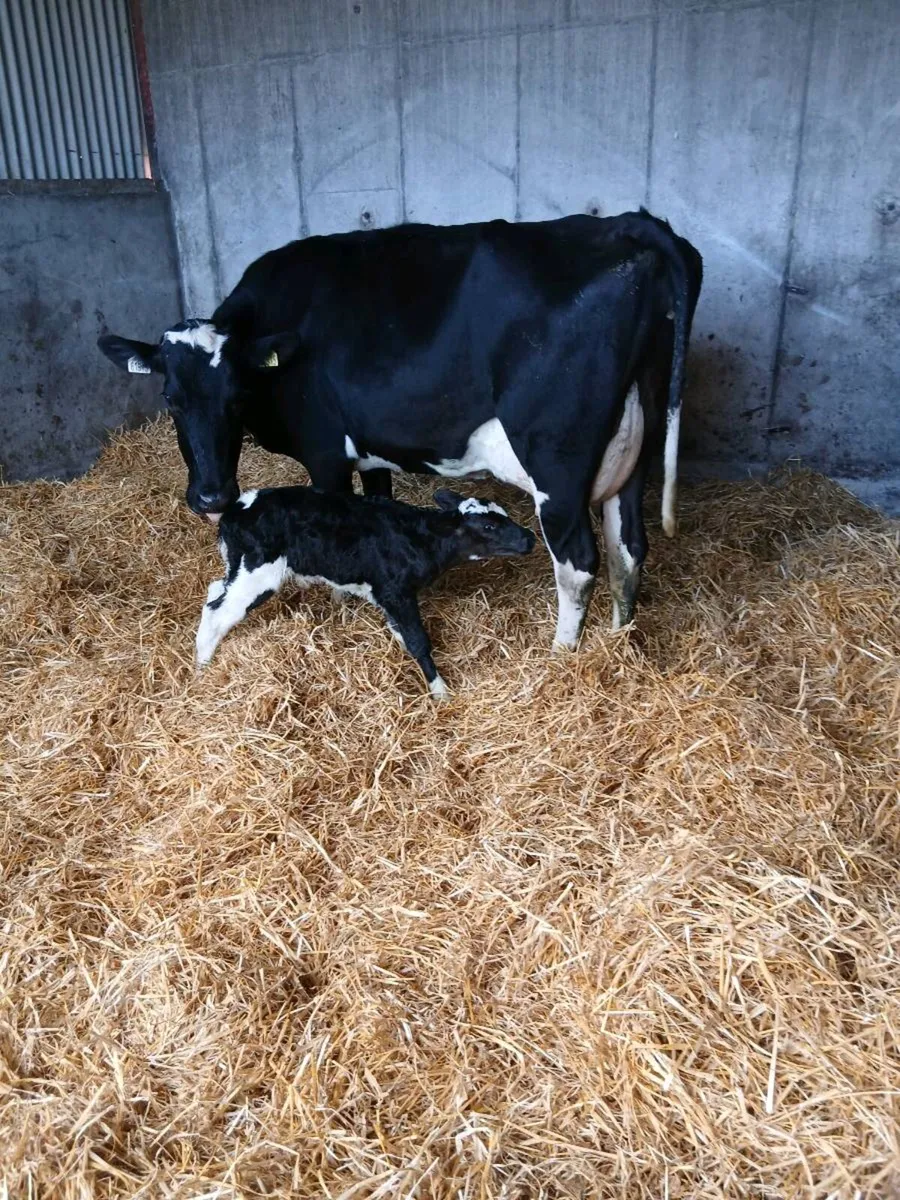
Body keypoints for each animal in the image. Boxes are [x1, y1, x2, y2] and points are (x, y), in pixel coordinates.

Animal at [98, 208, 702, 647]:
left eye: (238, 394)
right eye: (171, 399)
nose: (211, 496)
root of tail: (625, 221)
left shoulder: (325, 453)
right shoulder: (371, 455)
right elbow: (375, 509)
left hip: (556, 464)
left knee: (577, 564)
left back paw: (562, 655)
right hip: (635, 451)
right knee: (629, 550)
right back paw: (619, 642)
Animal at [195, 486, 536, 696]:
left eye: (504, 514)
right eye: (488, 527)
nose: (530, 538)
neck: (419, 539)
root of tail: (236, 511)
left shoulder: (387, 597)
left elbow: (402, 633)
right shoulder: (395, 592)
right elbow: (418, 641)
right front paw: (440, 691)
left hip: (239, 569)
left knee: (214, 590)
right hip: (258, 575)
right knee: (218, 611)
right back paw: (202, 664)